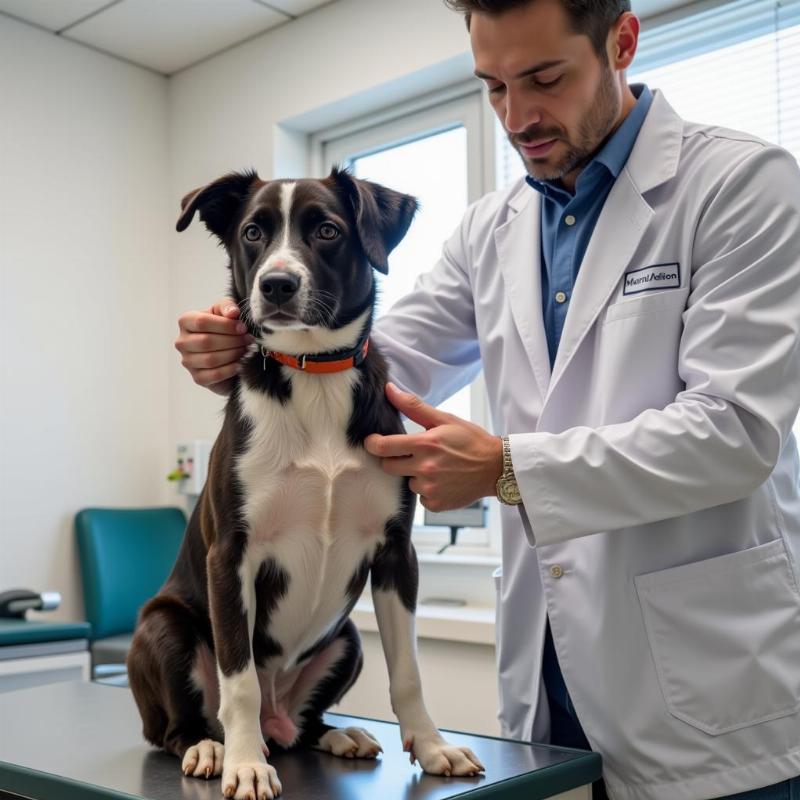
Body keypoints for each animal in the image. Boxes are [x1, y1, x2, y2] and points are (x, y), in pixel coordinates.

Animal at [128, 166, 484, 796]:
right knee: (181, 723)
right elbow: (239, 678)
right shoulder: (231, 556)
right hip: (162, 628)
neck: (315, 375)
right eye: (252, 232)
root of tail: (280, 718)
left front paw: (433, 745)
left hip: (346, 638)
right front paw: (246, 765)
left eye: (326, 230)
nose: (276, 284)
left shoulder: (396, 553)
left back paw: (333, 734)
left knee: (301, 723)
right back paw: (212, 747)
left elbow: (409, 671)